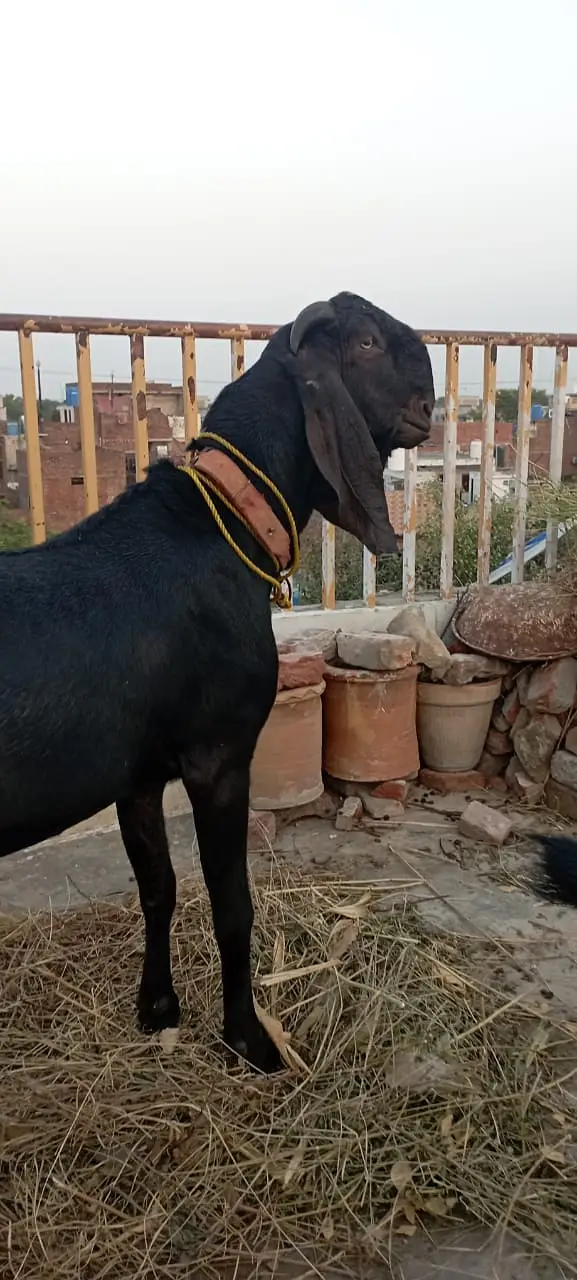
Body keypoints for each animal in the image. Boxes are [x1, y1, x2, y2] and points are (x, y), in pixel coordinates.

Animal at [0, 292, 433, 1072]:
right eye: (363, 342)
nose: (429, 403)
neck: (220, 521)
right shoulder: (219, 756)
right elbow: (232, 903)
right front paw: (249, 1039)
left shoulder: (138, 774)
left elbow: (158, 888)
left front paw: (157, 1009)